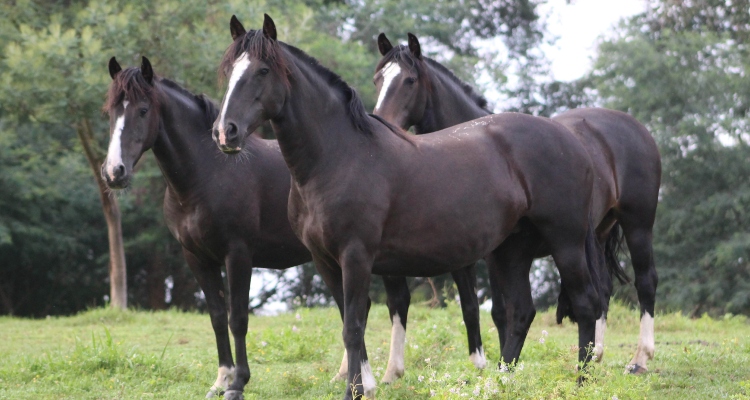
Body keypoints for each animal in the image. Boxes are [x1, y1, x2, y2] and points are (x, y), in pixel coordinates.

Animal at [101, 57, 488, 398]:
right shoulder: (196, 257)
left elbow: (237, 318)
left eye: (143, 110)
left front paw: (238, 382)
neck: (209, 172)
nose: (114, 171)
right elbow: (216, 317)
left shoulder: (237, 254)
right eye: (110, 113)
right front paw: (220, 380)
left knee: (404, 303)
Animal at [212, 14, 604, 398]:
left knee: (585, 304)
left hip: (564, 242)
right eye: (230, 70)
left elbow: (354, 327)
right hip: (512, 248)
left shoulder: (356, 256)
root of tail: (571, 140)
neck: (339, 157)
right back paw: (500, 384)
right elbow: (349, 325)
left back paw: (581, 383)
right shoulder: (325, 262)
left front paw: (355, 390)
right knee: (522, 312)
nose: (224, 132)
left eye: (263, 70)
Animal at [376, 32, 664, 374]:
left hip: (637, 225)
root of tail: (635, 127)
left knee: (646, 281)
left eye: (410, 80)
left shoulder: (494, 254)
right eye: (379, 78)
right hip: (599, 231)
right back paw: (595, 353)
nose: (382, 122)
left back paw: (640, 358)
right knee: (604, 289)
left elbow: (501, 311)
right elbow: (476, 308)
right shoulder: (469, 256)